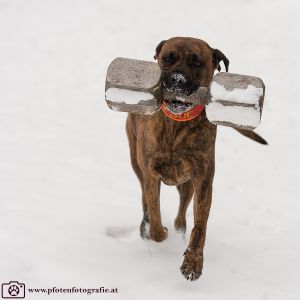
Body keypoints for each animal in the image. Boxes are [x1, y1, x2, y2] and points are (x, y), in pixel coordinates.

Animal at [125, 37, 266, 282]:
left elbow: (200, 226)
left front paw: (193, 262)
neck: (176, 123)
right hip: (136, 161)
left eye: (197, 62)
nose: (176, 80)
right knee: (144, 198)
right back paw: (147, 225)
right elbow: (155, 217)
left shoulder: (202, 179)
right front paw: (158, 232)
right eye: (167, 58)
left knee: (182, 212)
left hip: (186, 183)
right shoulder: (151, 172)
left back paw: (179, 230)